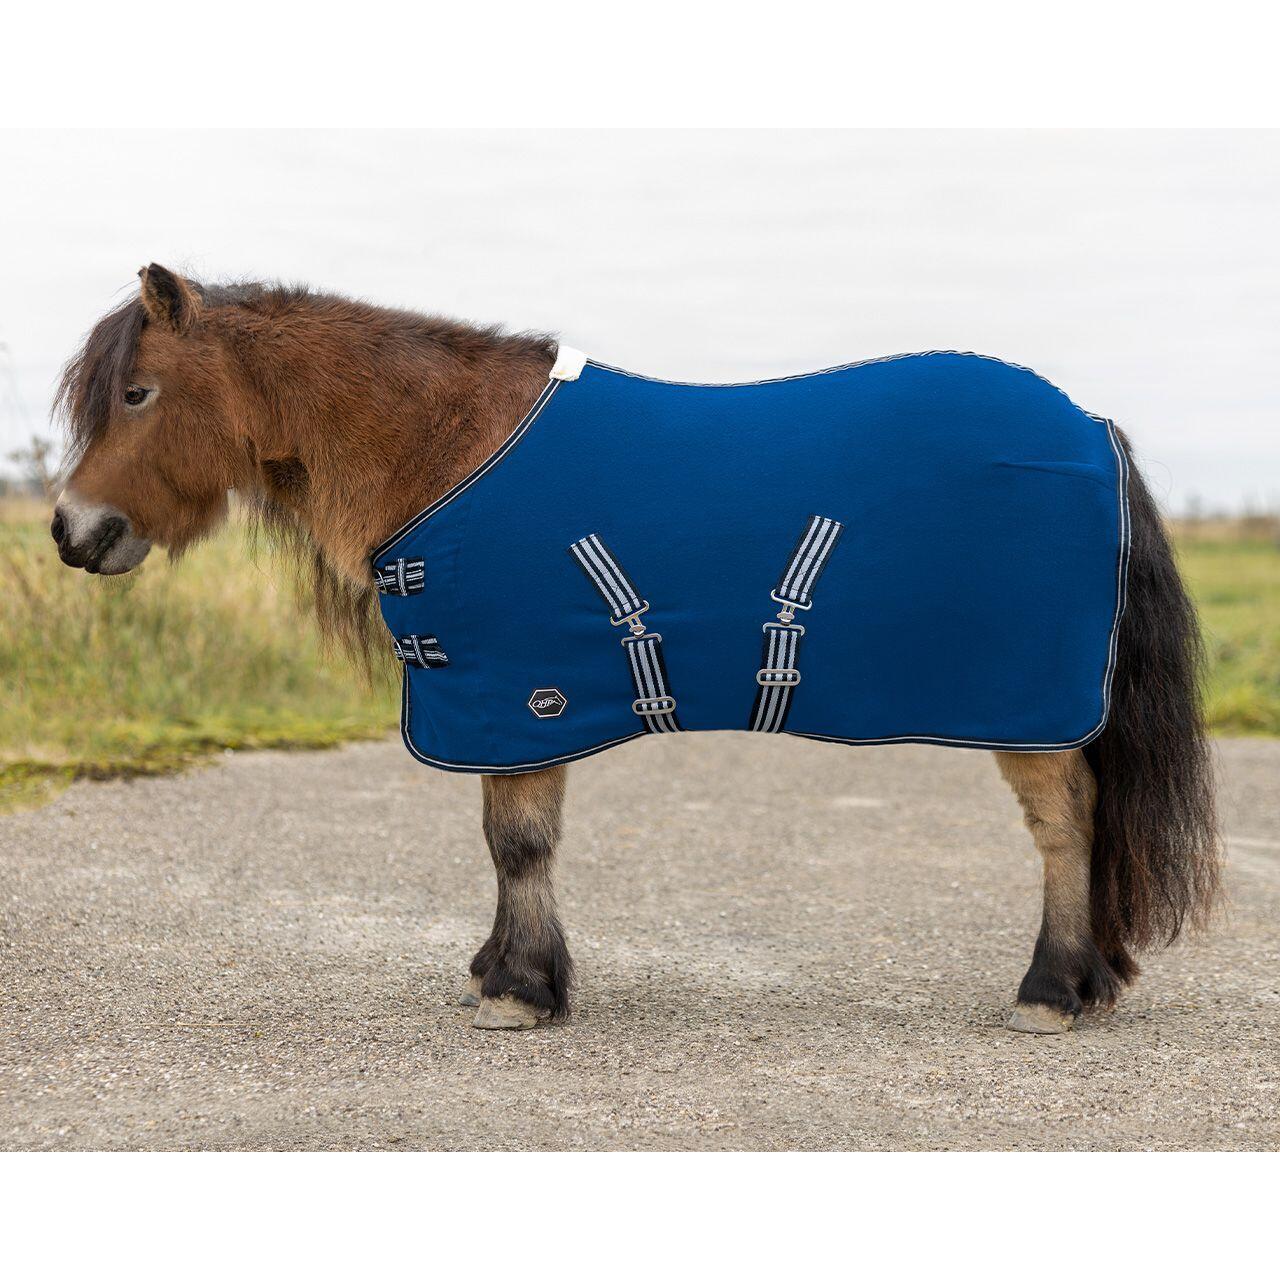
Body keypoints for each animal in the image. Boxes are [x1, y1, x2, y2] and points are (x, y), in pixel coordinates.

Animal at [50, 264, 1221, 1033]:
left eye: (139, 392)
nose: (72, 531)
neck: (448, 446)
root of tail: (1089, 428)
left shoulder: (523, 695)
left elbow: (518, 842)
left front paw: (519, 991)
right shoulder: (511, 701)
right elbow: (506, 841)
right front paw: (501, 971)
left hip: (1030, 704)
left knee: (1066, 827)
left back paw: (1049, 990)